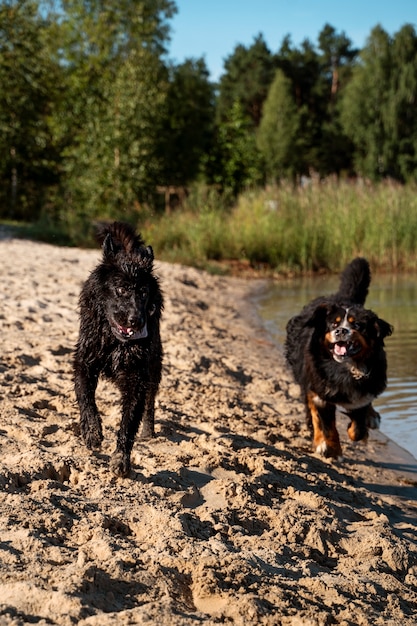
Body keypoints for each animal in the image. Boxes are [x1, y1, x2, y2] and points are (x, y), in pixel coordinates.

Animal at [73, 222, 162, 476]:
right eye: (121, 290)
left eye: (143, 292)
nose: (137, 321)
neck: (115, 343)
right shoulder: (84, 362)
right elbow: (86, 398)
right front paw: (92, 432)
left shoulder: (137, 378)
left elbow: (129, 421)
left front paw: (121, 459)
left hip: (155, 366)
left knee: (151, 402)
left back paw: (148, 432)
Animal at [284, 258, 392, 458]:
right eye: (333, 324)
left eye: (357, 325)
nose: (341, 331)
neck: (346, 368)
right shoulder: (320, 392)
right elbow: (326, 425)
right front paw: (331, 448)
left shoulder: (362, 394)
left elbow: (357, 428)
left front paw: (359, 430)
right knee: (312, 413)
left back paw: (372, 417)